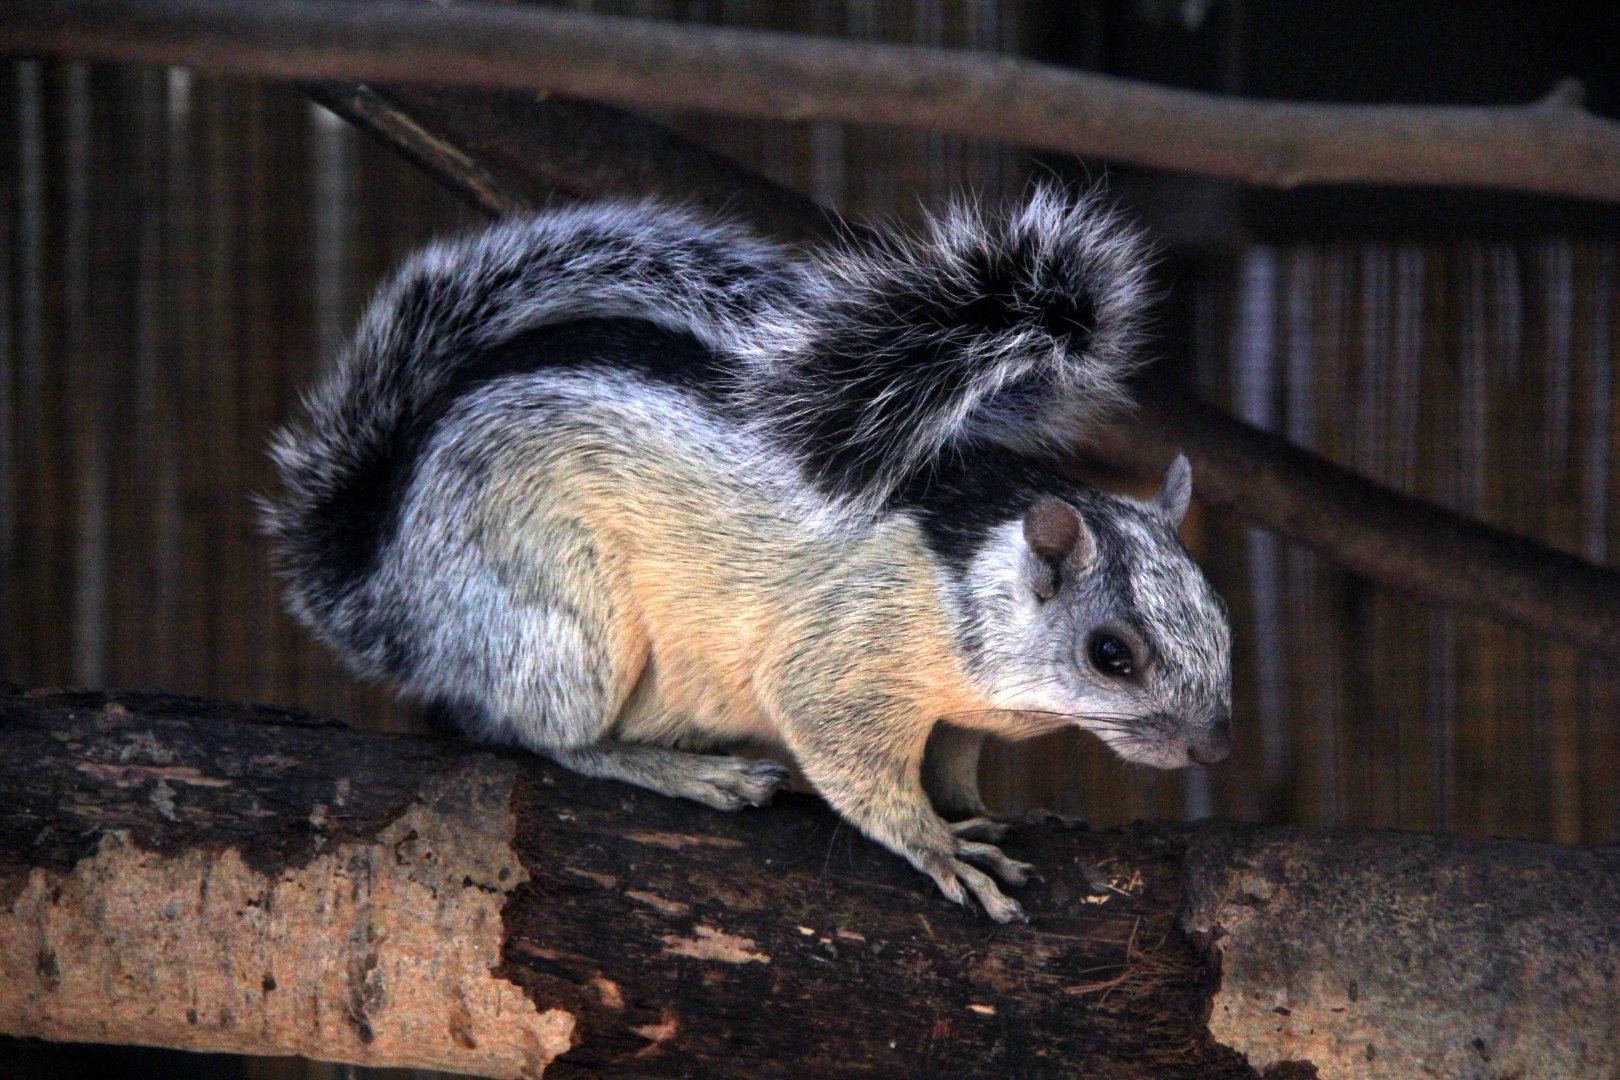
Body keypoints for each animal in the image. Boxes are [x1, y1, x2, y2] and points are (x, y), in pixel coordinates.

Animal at [263, 189, 1233, 923]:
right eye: (1111, 654)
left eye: (1224, 621)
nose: (1214, 750)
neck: (972, 574)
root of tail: (388, 591)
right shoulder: (845, 655)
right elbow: (854, 762)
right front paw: (935, 843)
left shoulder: (962, 712)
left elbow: (954, 759)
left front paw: (975, 809)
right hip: (556, 623)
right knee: (524, 731)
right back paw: (684, 771)